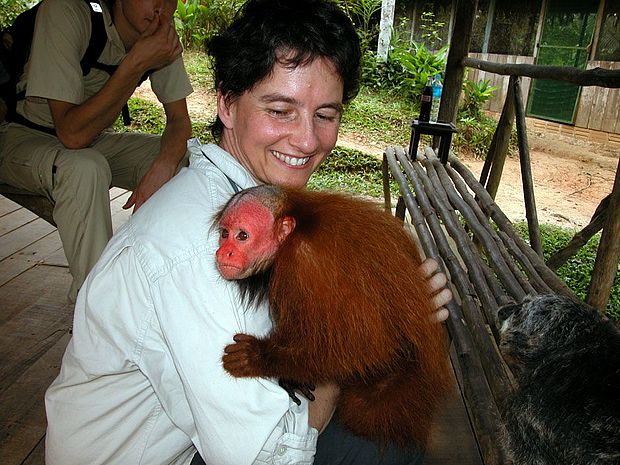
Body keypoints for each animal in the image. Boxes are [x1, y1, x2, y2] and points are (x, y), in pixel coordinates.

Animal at [216, 182, 448, 446]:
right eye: (224, 233)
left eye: (242, 236)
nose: (223, 253)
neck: (298, 229)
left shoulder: (307, 264)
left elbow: (365, 346)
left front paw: (258, 358)